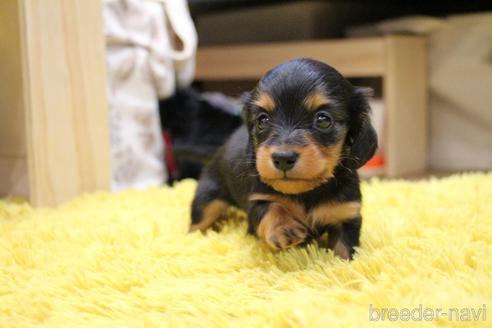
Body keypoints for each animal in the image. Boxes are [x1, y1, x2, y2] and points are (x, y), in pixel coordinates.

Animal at [188, 58, 376, 258]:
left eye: (323, 120)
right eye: (262, 120)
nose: (283, 158)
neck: (306, 192)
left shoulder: (347, 214)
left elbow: (343, 249)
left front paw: (340, 262)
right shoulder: (257, 199)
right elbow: (272, 207)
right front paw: (285, 228)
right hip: (207, 196)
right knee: (200, 220)